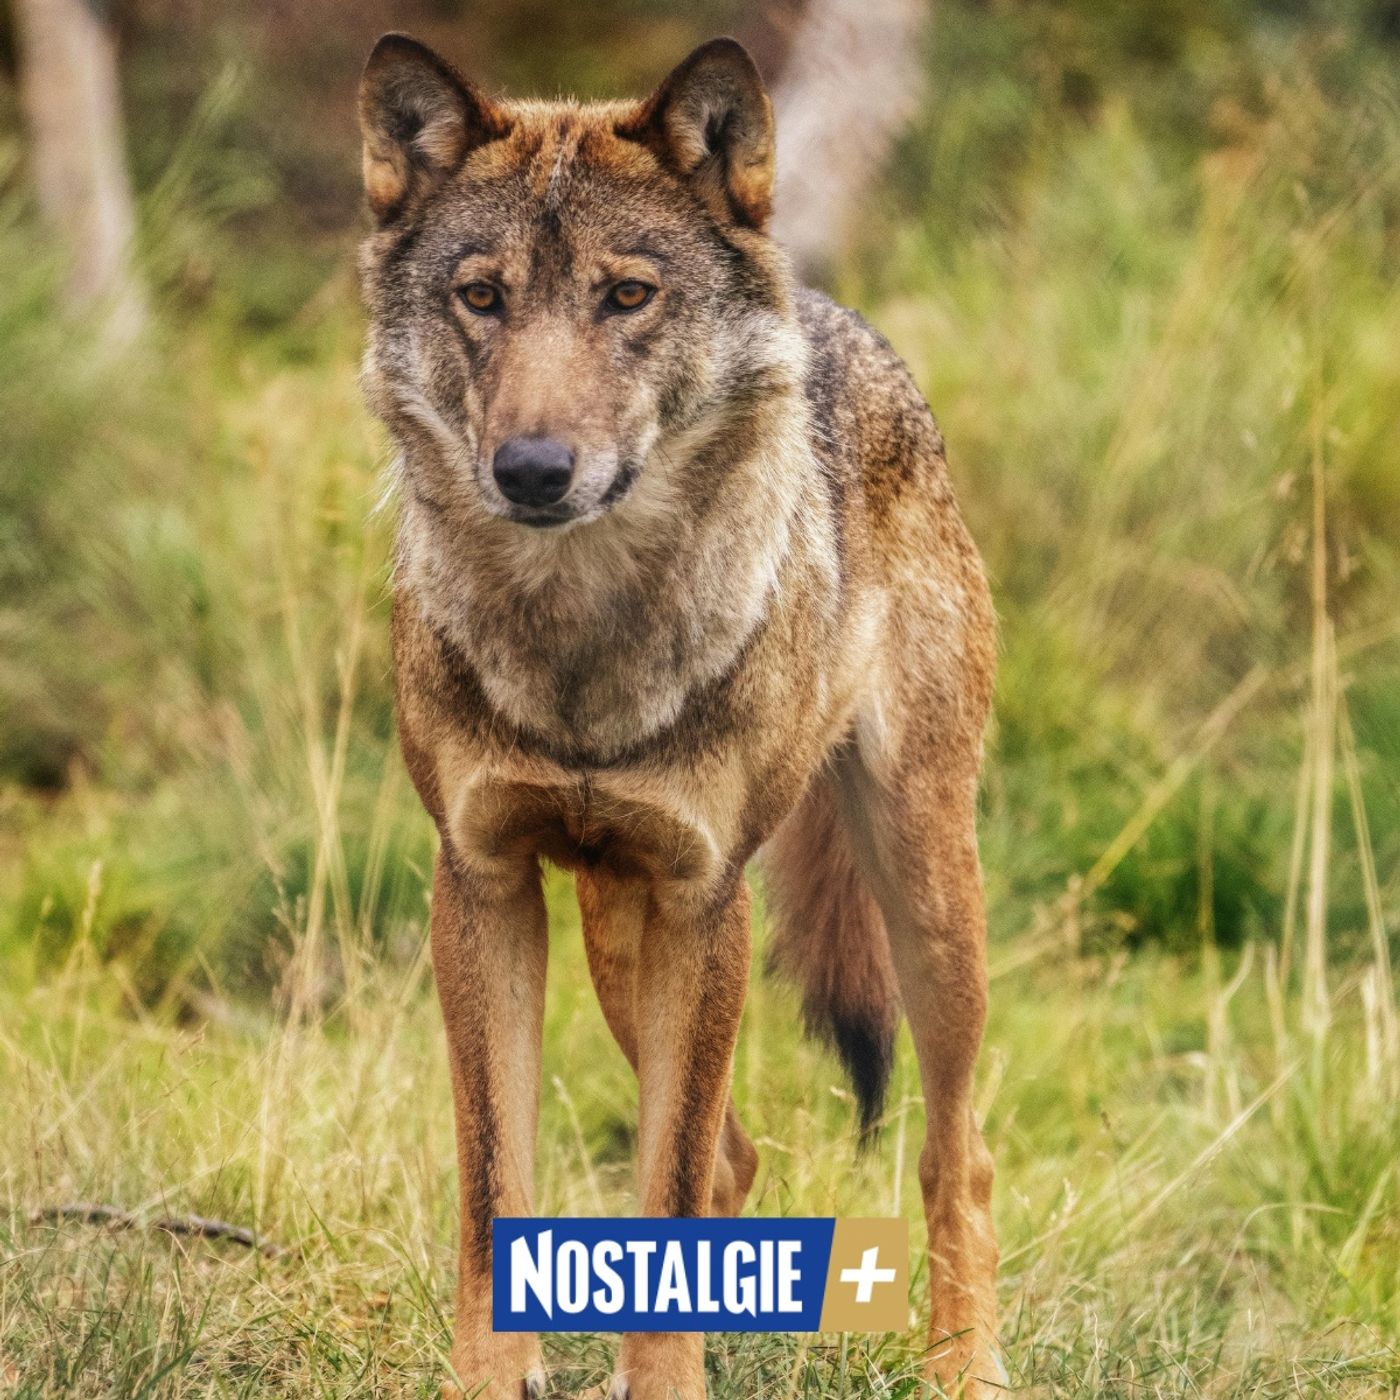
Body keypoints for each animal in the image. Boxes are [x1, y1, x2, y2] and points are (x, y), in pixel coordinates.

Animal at [357, 32, 1001, 1399]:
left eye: (626, 296)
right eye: (481, 297)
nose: (532, 470)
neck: (580, 642)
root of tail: (838, 319)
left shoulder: (709, 901)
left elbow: (658, 1186)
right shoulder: (481, 883)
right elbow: (497, 1186)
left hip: (920, 888)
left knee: (953, 1151)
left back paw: (965, 1367)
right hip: (618, 931)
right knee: (730, 1158)